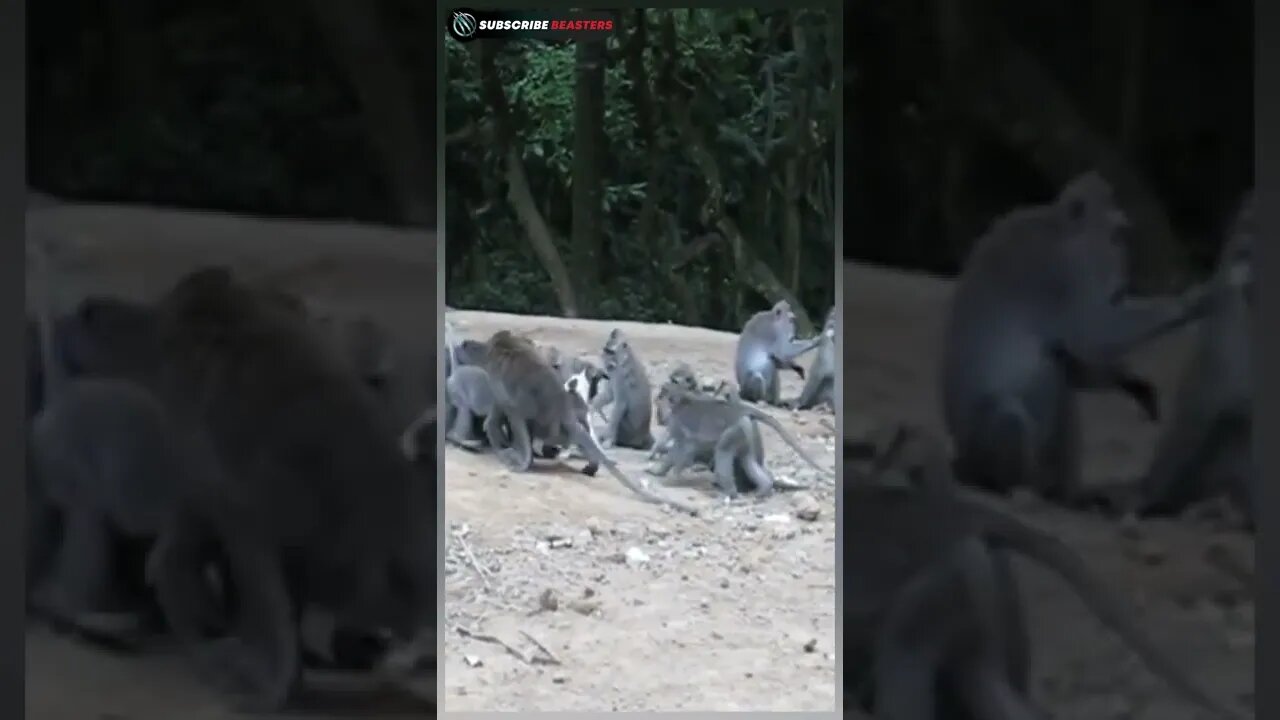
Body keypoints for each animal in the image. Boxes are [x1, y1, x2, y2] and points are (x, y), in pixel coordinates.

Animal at [940, 171, 1243, 507]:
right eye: (1115, 237)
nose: (1123, 280)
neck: (1059, 228)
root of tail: (962, 462)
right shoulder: (1066, 274)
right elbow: (1092, 335)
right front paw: (1197, 299)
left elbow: (1075, 356)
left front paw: (1130, 381)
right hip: (976, 448)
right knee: (1008, 414)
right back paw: (1011, 488)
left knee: (1059, 383)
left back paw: (1064, 493)